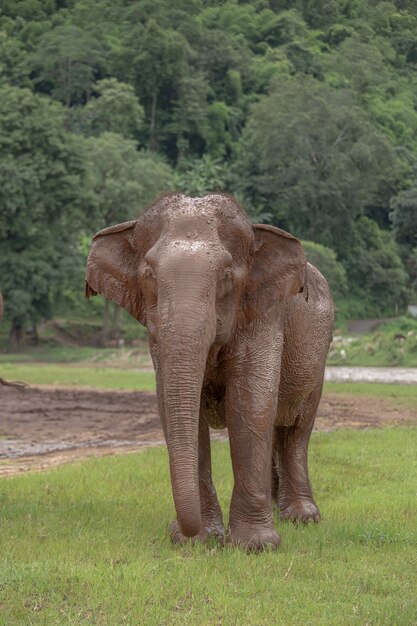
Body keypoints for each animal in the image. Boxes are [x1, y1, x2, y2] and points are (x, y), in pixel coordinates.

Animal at [84, 193, 332, 548]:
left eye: (226, 275)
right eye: (148, 274)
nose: (179, 531)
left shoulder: (263, 314)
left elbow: (250, 405)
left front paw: (255, 546)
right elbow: (179, 408)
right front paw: (199, 541)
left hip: (319, 361)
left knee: (295, 432)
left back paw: (302, 518)